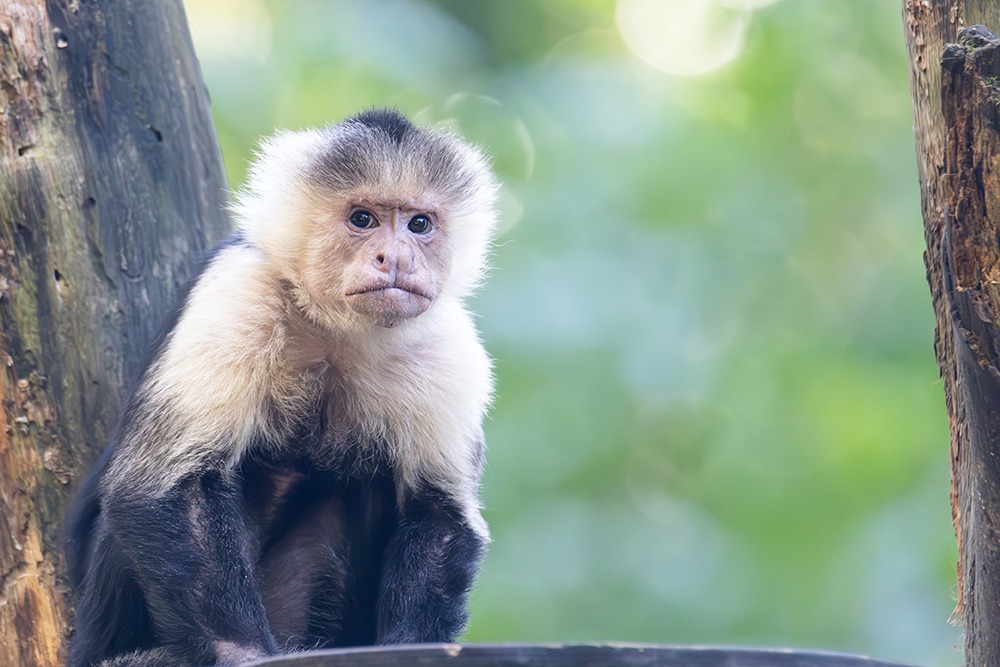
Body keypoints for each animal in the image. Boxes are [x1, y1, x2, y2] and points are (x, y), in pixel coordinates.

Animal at [63, 111, 500, 667]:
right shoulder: (239, 291)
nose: (397, 258)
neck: (337, 329)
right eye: (362, 219)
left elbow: (439, 513)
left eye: (419, 225)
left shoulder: (448, 347)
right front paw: (242, 654)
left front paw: (412, 650)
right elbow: (165, 486)